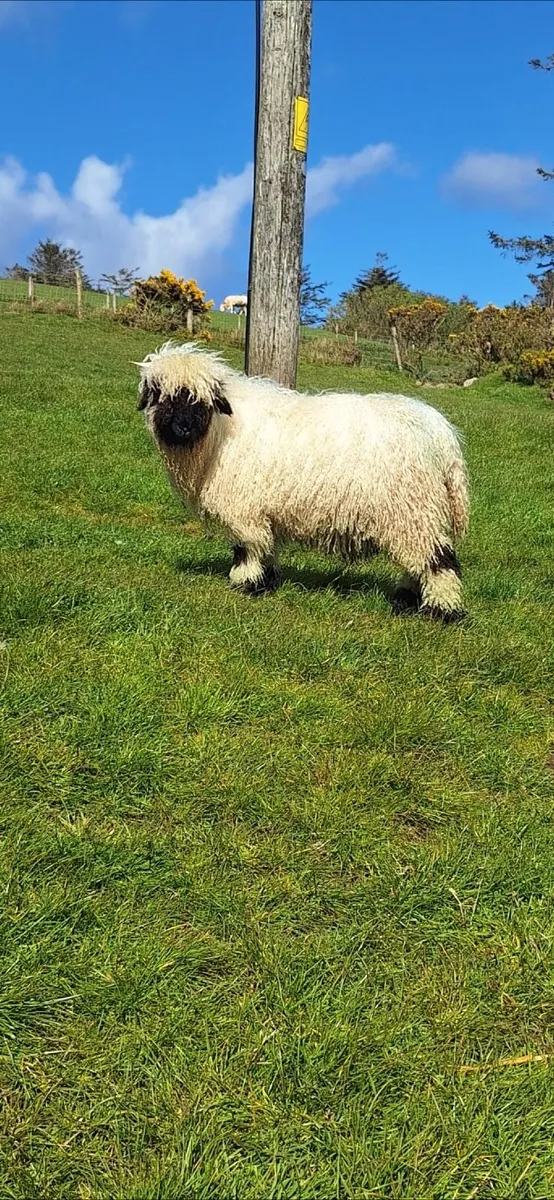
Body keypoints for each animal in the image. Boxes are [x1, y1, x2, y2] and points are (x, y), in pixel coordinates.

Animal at [136, 342, 470, 622]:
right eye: (162, 396)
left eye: (200, 401)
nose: (182, 428)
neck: (219, 432)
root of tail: (442, 433)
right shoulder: (264, 510)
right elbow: (266, 547)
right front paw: (266, 582)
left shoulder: (245, 508)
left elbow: (247, 547)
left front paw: (245, 584)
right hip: (412, 516)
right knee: (418, 562)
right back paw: (405, 600)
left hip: (411, 508)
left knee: (438, 560)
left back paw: (442, 611)